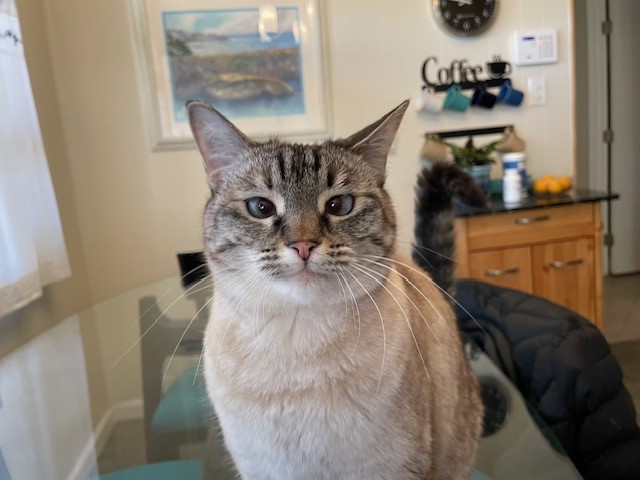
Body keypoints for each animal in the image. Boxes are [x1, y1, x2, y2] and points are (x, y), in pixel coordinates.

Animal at [188, 99, 482, 478]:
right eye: (261, 208)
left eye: (339, 206)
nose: (303, 245)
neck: (296, 344)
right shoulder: (264, 470)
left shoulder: (389, 469)